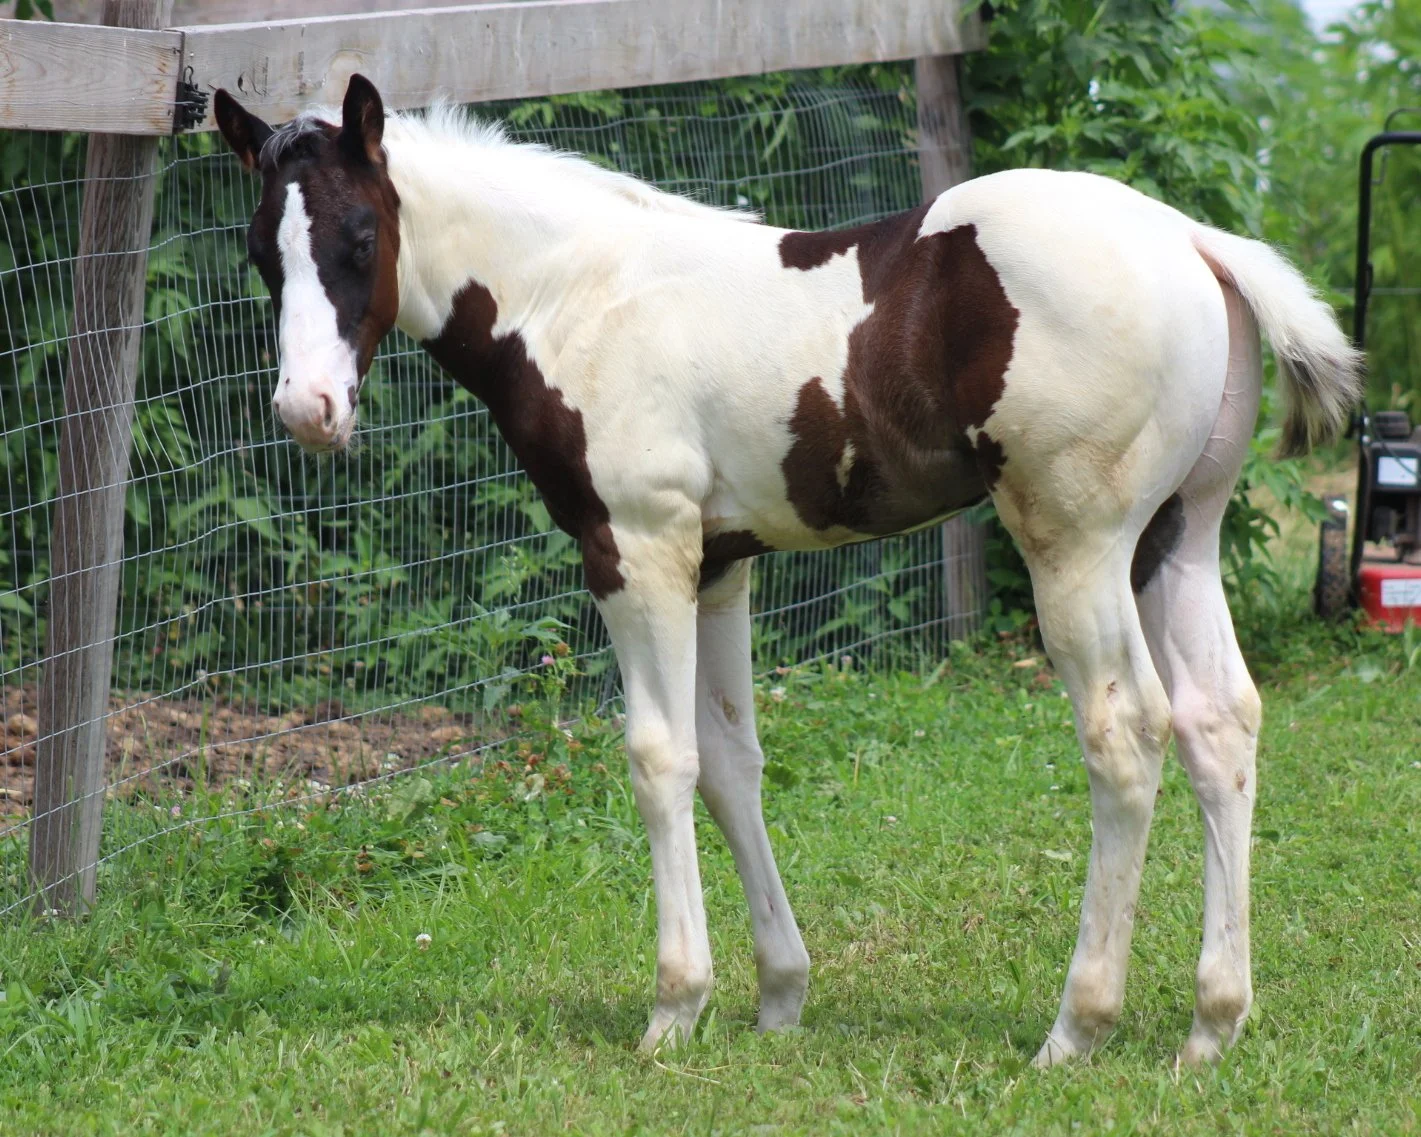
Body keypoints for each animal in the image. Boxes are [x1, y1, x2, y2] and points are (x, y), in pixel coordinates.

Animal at [213, 74, 1361, 1067]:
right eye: (261, 252)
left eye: (362, 237)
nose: (307, 411)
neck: (576, 295)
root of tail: (1192, 239)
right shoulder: (720, 566)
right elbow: (731, 765)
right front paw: (776, 997)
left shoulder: (636, 549)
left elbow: (659, 759)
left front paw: (673, 1008)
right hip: (1175, 537)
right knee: (1219, 723)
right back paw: (1210, 1024)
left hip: (1076, 547)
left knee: (1125, 737)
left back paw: (1074, 1029)